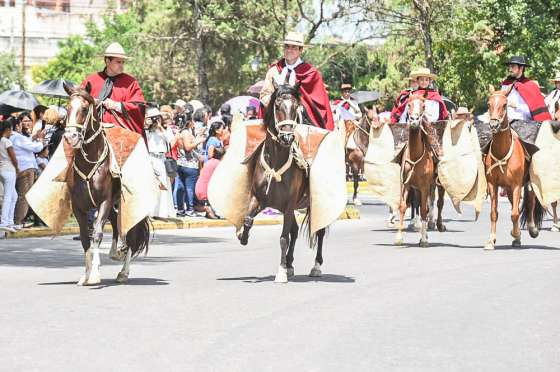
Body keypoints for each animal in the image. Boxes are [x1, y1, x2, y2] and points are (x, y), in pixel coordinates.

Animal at [63, 82, 150, 284]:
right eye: (68, 108)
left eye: (84, 109)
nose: (71, 137)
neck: (89, 164)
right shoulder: (78, 206)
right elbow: (85, 238)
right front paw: (86, 274)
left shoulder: (104, 201)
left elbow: (97, 234)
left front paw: (94, 274)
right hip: (113, 205)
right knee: (117, 227)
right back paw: (115, 253)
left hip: (126, 204)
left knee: (130, 234)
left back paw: (123, 271)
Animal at [238, 83, 326, 284]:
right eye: (277, 106)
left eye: (296, 107)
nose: (287, 137)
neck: (276, 161)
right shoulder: (259, 198)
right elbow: (247, 220)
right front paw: (242, 237)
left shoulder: (288, 205)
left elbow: (283, 238)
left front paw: (281, 272)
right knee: (295, 230)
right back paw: (290, 264)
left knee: (320, 231)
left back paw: (315, 266)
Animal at [394, 92, 446, 247]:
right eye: (408, 104)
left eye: (423, 106)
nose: (414, 120)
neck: (415, 154)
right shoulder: (406, 184)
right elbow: (403, 206)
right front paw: (399, 237)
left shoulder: (424, 186)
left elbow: (424, 210)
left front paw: (423, 239)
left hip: (437, 184)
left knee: (439, 203)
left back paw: (438, 225)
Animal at [484, 86, 544, 250]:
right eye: (489, 104)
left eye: (504, 105)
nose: (494, 125)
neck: (502, 152)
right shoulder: (493, 184)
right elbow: (494, 213)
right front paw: (491, 240)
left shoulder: (517, 184)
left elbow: (515, 213)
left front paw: (517, 234)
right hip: (509, 188)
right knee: (514, 204)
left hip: (526, 182)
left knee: (530, 200)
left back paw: (531, 229)